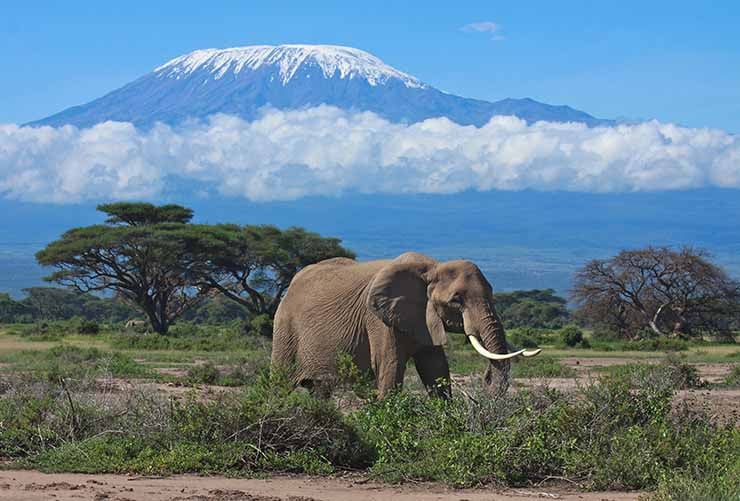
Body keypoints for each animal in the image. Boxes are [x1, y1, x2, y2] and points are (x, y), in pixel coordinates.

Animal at [270, 254, 536, 398]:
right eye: (457, 300)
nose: (486, 378)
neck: (432, 267)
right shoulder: (377, 320)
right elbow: (390, 366)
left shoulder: (423, 318)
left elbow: (435, 368)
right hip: (284, 328)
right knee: (280, 384)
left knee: (319, 391)